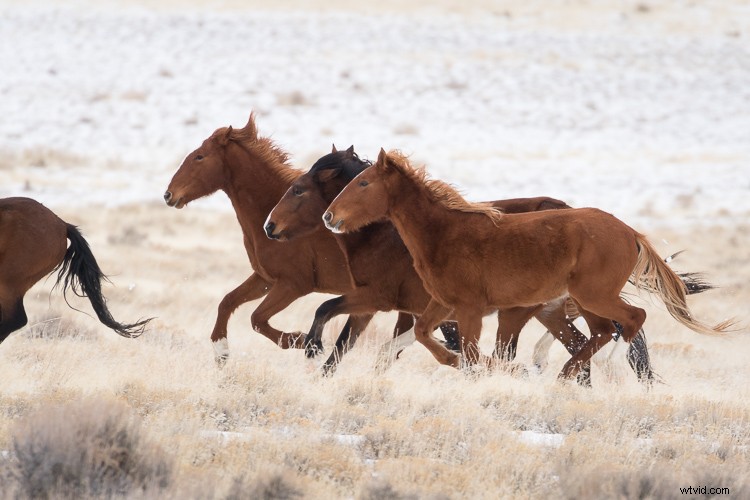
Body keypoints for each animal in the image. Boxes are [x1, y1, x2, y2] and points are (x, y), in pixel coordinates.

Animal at [164, 113, 416, 364]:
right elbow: (227, 302)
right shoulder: (265, 279)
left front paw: (304, 341)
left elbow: (257, 319)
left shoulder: (293, 285)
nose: (168, 194)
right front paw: (221, 351)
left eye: (199, 156)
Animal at [323, 150, 735, 380]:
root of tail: (631, 232)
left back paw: (599, 367)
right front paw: (462, 362)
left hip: (594, 294)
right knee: (601, 332)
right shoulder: (442, 303)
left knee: (632, 320)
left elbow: (472, 352)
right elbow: (426, 336)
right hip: (584, 300)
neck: (445, 233)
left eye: (363, 184)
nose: (329, 216)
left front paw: (500, 369)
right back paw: (565, 374)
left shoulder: (471, 309)